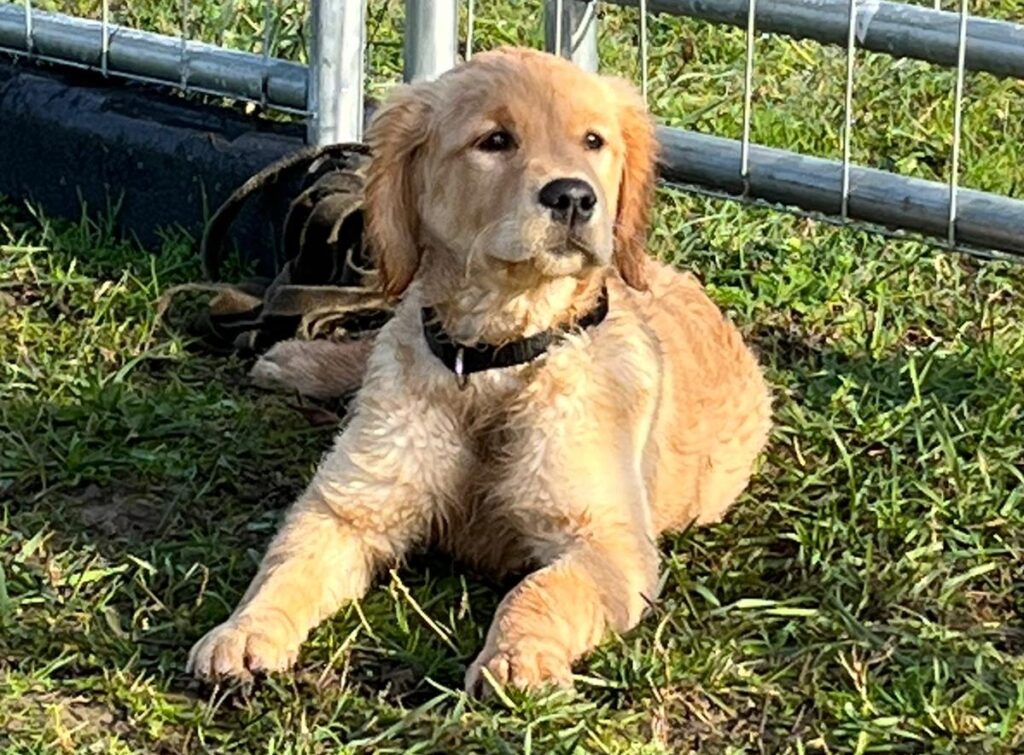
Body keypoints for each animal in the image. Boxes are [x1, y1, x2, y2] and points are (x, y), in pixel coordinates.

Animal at [188, 48, 770, 696]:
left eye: (593, 141)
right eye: (495, 140)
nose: (574, 197)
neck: (492, 359)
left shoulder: (608, 541)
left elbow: (540, 589)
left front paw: (518, 658)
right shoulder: (348, 504)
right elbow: (288, 565)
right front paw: (244, 631)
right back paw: (294, 358)